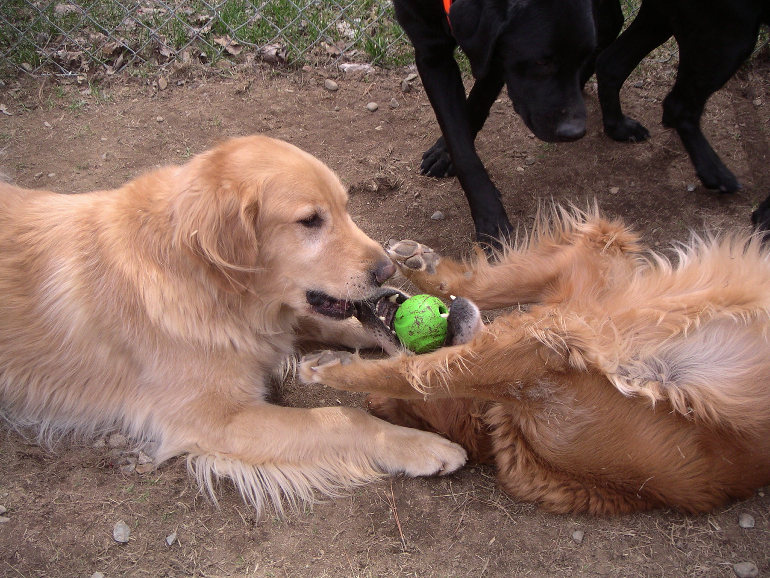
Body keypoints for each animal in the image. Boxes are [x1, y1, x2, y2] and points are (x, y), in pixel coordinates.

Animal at [0, 135, 467, 516]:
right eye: (310, 220)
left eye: (344, 208)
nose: (388, 268)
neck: (207, 281)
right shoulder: (218, 420)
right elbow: (343, 418)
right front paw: (419, 445)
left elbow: (332, 323)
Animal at [301, 206, 770, 514]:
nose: (363, 307)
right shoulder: (543, 356)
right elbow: (425, 373)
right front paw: (337, 368)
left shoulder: (588, 276)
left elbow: (486, 290)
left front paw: (423, 264)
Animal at [392, 0, 599, 245]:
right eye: (541, 61)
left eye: (582, 56)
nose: (575, 131)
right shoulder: (431, 53)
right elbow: (460, 145)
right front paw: (490, 217)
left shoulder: (495, 56)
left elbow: (476, 104)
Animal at [594, 0, 769, 193]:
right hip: (729, 35)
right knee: (678, 105)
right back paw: (715, 174)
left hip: (662, 18)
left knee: (610, 64)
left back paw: (619, 127)